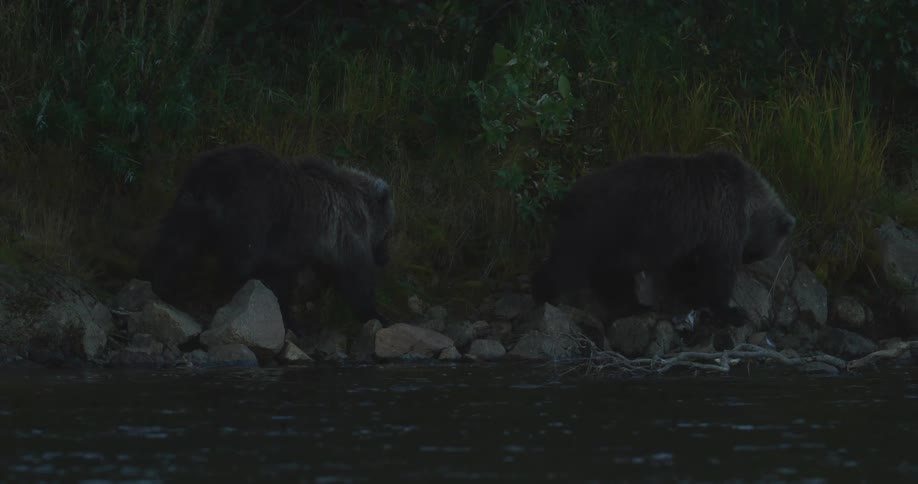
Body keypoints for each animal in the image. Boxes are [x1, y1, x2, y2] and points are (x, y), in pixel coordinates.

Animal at [140, 144, 396, 334]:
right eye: (389, 233)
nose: (385, 258)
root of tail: (210, 176)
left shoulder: (294, 247)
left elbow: (287, 280)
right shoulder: (342, 232)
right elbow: (355, 278)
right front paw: (376, 315)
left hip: (189, 208)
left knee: (175, 248)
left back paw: (163, 287)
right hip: (249, 213)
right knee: (237, 263)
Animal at [531, 150, 795, 329]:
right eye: (757, 252)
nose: (747, 260)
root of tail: (568, 197)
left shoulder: (693, 236)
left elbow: (687, 270)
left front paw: (688, 298)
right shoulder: (722, 223)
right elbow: (717, 271)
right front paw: (733, 312)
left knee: (609, 275)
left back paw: (634, 306)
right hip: (601, 226)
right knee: (568, 263)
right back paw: (543, 294)